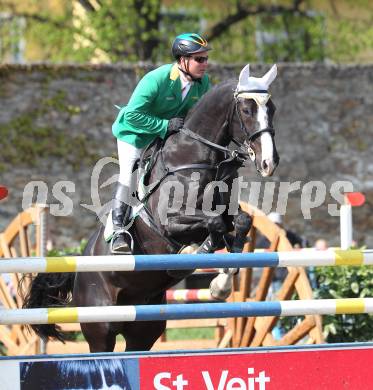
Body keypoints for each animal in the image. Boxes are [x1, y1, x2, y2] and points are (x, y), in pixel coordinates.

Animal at [24, 63, 280, 350]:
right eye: (247, 110)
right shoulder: (170, 221)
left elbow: (239, 223)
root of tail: (80, 267)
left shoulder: (226, 211)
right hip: (100, 327)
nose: (270, 162)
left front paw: (221, 283)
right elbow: (213, 224)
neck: (195, 154)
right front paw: (193, 253)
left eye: (272, 109)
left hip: (144, 328)